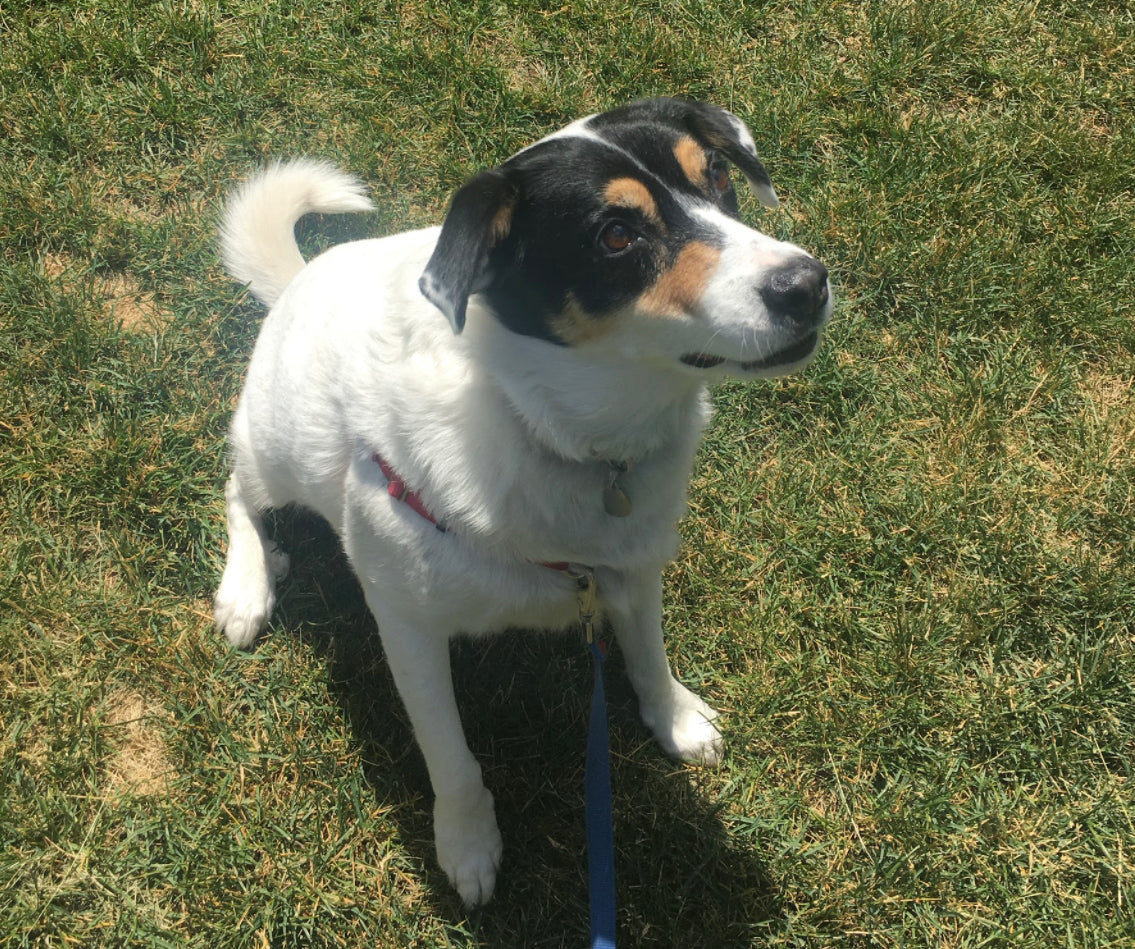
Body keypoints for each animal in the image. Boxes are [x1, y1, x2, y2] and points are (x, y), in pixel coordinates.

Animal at [214, 99, 835, 908]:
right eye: (615, 235)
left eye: (720, 177)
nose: (807, 284)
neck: (554, 426)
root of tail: (295, 282)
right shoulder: (407, 624)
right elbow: (450, 757)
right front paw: (468, 843)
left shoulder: (632, 566)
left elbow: (647, 652)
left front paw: (673, 718)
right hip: (279, 450)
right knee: (238, 488)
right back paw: (246, 585)